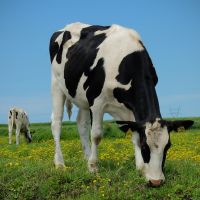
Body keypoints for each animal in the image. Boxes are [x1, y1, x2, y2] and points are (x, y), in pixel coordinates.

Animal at [48, 22, 194, 187]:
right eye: (145, 146)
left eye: (168, 146)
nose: (156, 181)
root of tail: (67, 26)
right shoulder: (96, 101)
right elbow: (96, 135)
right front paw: (93, 167)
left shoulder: (131, 110)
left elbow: (134, 134)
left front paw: (140, 168)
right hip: (57, 85)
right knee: (56, 123)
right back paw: (60, 163)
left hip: (82, 98)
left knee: (81, 124)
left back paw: (86, 156)